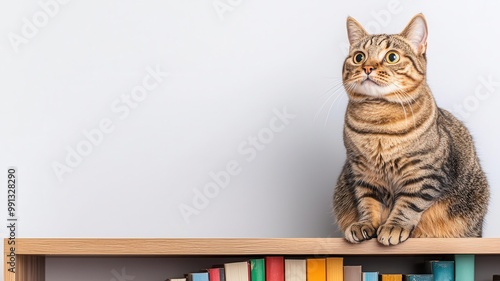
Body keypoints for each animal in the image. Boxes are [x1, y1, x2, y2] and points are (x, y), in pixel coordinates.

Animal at [332, 14, 488, 244]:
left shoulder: (424, 174)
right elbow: (367, 202)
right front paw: (365, 224)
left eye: (392, 57)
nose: (367, 68)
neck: (378, 122)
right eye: (359, 57)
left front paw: (394, 227)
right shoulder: (362, 172)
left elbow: (408, 204)